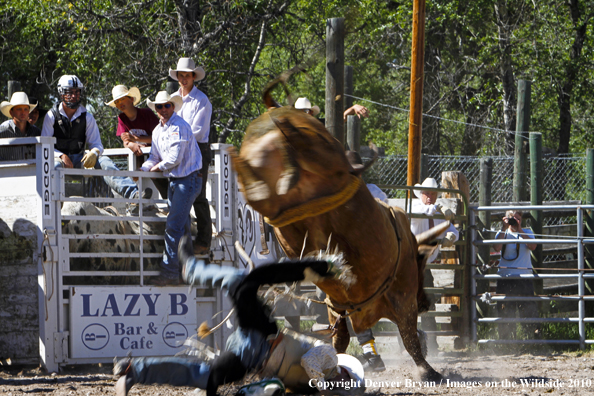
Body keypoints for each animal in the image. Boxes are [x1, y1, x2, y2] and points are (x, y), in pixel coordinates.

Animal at [229, 79, 446, 380]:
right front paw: (428, 371)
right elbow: (409, 336)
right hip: (318, 156)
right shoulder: (401, 297)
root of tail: (276, 112)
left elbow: (341, 338)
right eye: (423, 266)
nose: (426, 302)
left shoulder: (337, 306)